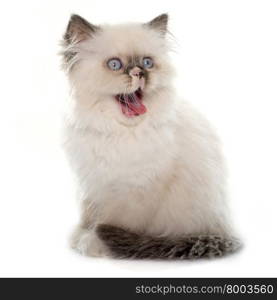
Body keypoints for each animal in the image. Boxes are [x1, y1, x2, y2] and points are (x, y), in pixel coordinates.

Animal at [59, 13, 239, 258]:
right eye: (115, 65)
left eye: (147, 62)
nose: (139, 73)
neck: (120, 132)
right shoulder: (93, 183)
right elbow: (89, 218)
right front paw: (81, 237)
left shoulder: (136, 192)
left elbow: (115, 224)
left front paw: (97, 244)